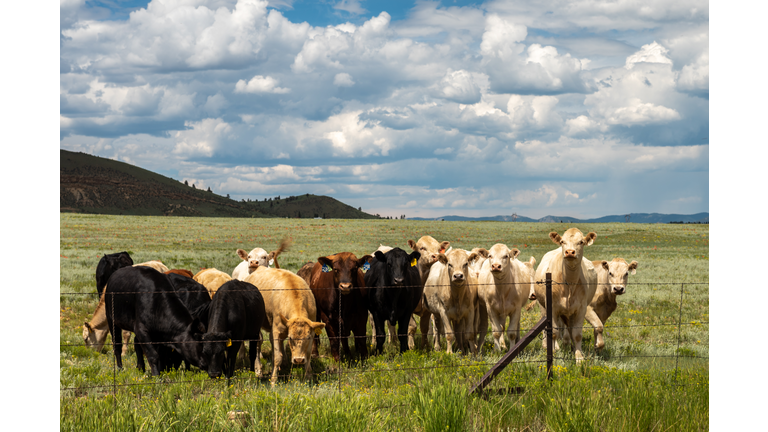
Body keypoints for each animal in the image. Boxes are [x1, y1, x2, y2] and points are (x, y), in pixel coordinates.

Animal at [536, 228, 600, 362]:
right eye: (562, 241)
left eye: (581, 242)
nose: (569, 252)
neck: (569, 283)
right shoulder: (552, 308)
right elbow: (554, 332)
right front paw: (554, 353)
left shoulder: (581, 308)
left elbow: (577, 334)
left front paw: (579, 358)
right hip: (543, 307)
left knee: (569, 330)